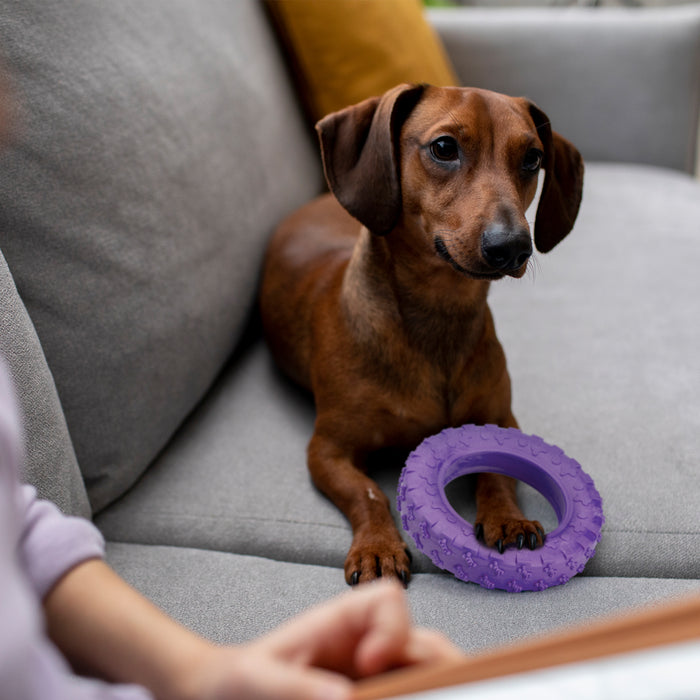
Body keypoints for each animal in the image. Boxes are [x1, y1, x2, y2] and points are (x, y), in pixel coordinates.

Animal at [260, 83, 584, 584]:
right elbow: (368, 493)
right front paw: (377, 547)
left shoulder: (501, 419)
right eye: (444, 148)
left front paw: (507, 519)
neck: (438, 319)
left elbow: (498, 475)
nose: (513, 246)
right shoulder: (327, 451)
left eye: (532, 158)